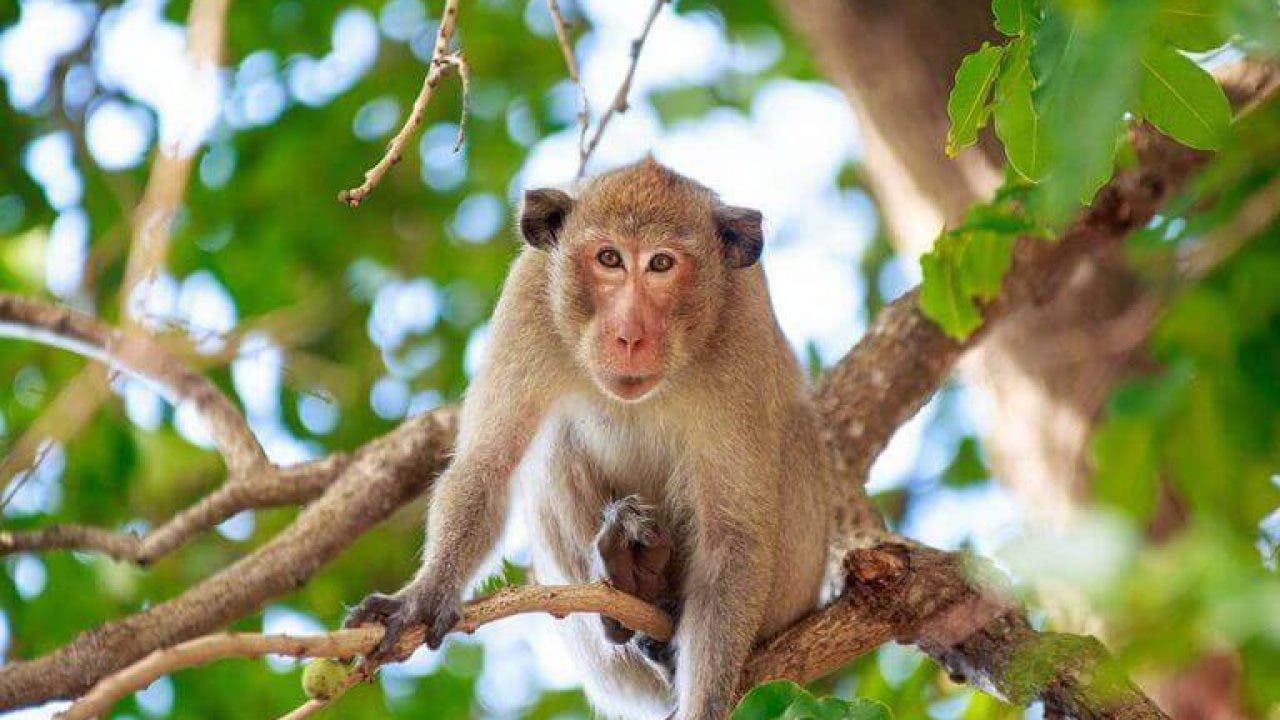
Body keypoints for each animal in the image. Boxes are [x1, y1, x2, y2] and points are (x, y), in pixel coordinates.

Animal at [345, 156, 834, 717]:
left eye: (661, 264)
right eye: (609, 259)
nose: (629, 335)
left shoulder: (742, 326)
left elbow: (733, 536)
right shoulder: (530, 296)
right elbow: (486, 464)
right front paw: (424, 595)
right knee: (552, 446)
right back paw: (631, 584)